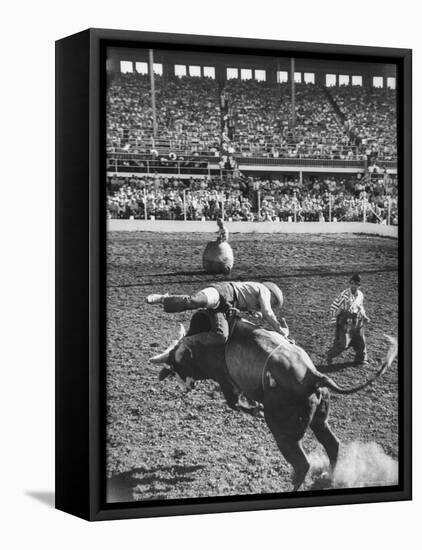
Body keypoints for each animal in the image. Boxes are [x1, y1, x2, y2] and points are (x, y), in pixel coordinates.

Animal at [150, 310, 398, 492]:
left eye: (177, 365)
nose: (184, 386)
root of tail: (313, 376)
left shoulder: (225, 379)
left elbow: (234, 402)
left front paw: (255, 409)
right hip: (319, 419)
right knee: (332, 445)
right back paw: (330, 476)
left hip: (284, 433)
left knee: (302, 463)